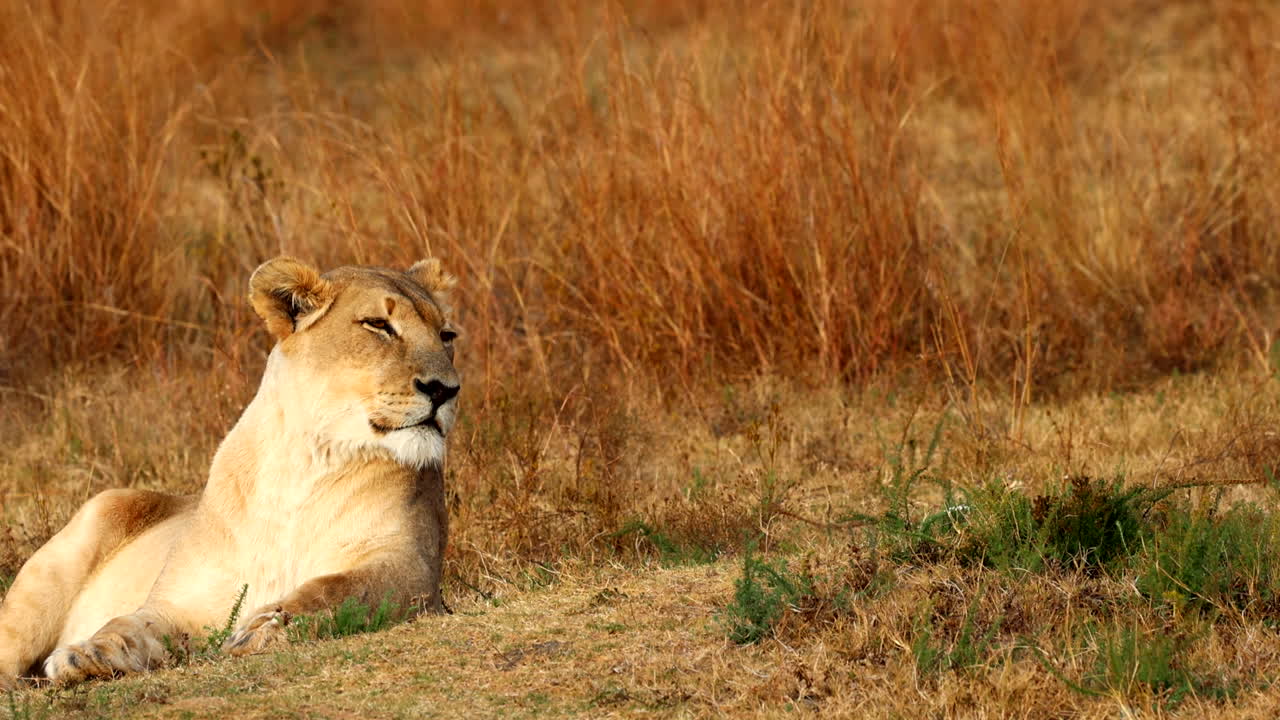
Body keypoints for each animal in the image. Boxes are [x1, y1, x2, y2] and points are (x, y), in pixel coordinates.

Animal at [0, 256, 461, 689]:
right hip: (85, 529)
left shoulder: (411, 568)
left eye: (446, 336)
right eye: (378, 325)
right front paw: (86, 655)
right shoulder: (184, 601)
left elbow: (338, 590)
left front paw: (265, 628)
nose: (445, 389)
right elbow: (129, 624)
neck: (304, 464)